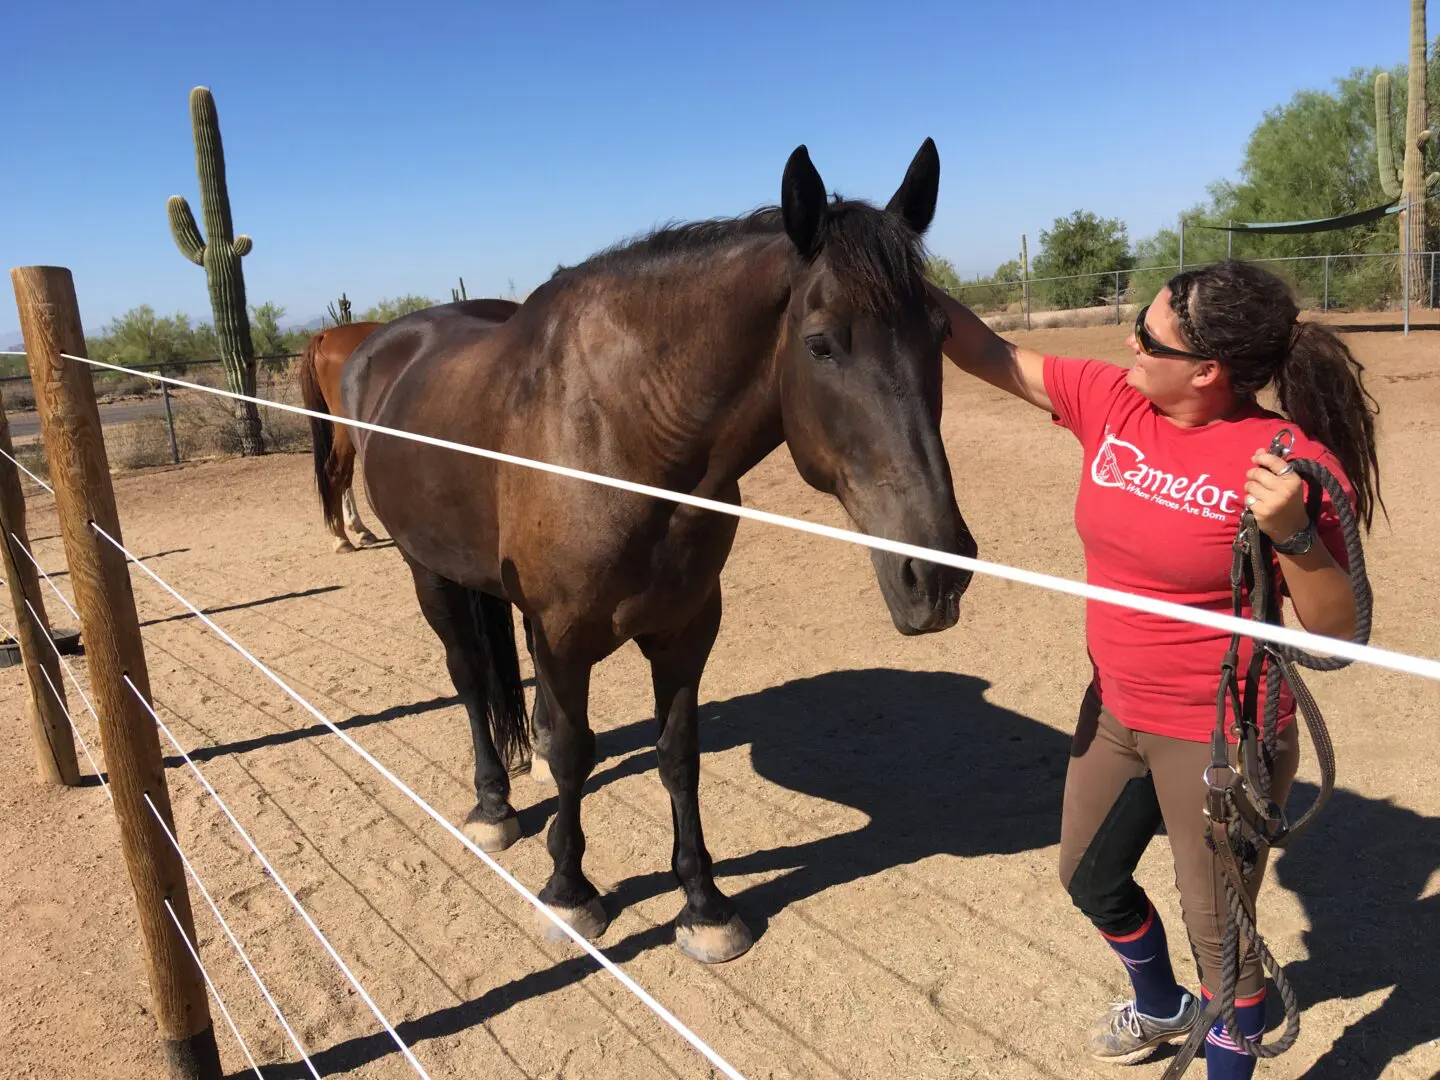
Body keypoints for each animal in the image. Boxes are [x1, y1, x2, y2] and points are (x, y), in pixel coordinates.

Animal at [342, 137, 984, 961]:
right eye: (820, 344)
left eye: (941, 335)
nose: (935, 575)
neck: (624, 434)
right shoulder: (564, 634)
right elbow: (572, 752)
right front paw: (569, 892)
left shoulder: (686, 626)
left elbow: (678, 754)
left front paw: (704, 904)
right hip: (430, 574)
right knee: (469, 680)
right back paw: (494, 806)